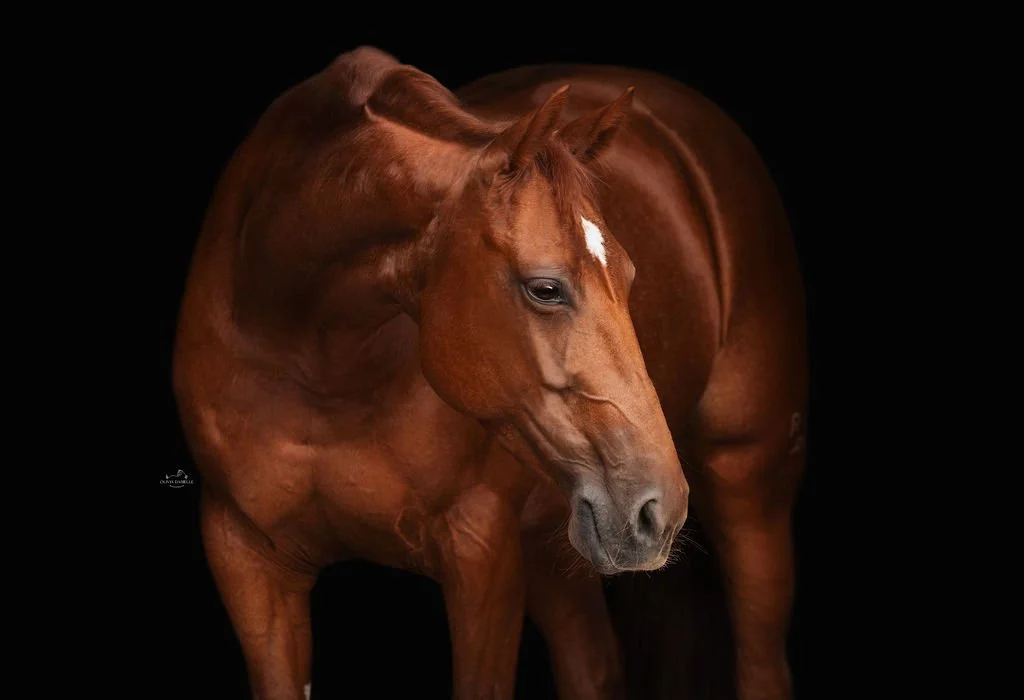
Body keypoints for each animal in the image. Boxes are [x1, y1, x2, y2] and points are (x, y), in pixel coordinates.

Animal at [173, 46, 807, 700]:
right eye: (545, 288)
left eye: (631, 277)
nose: (660, 510)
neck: (311, 362)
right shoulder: (248, 561)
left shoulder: (479, 553)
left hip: (748, 480)